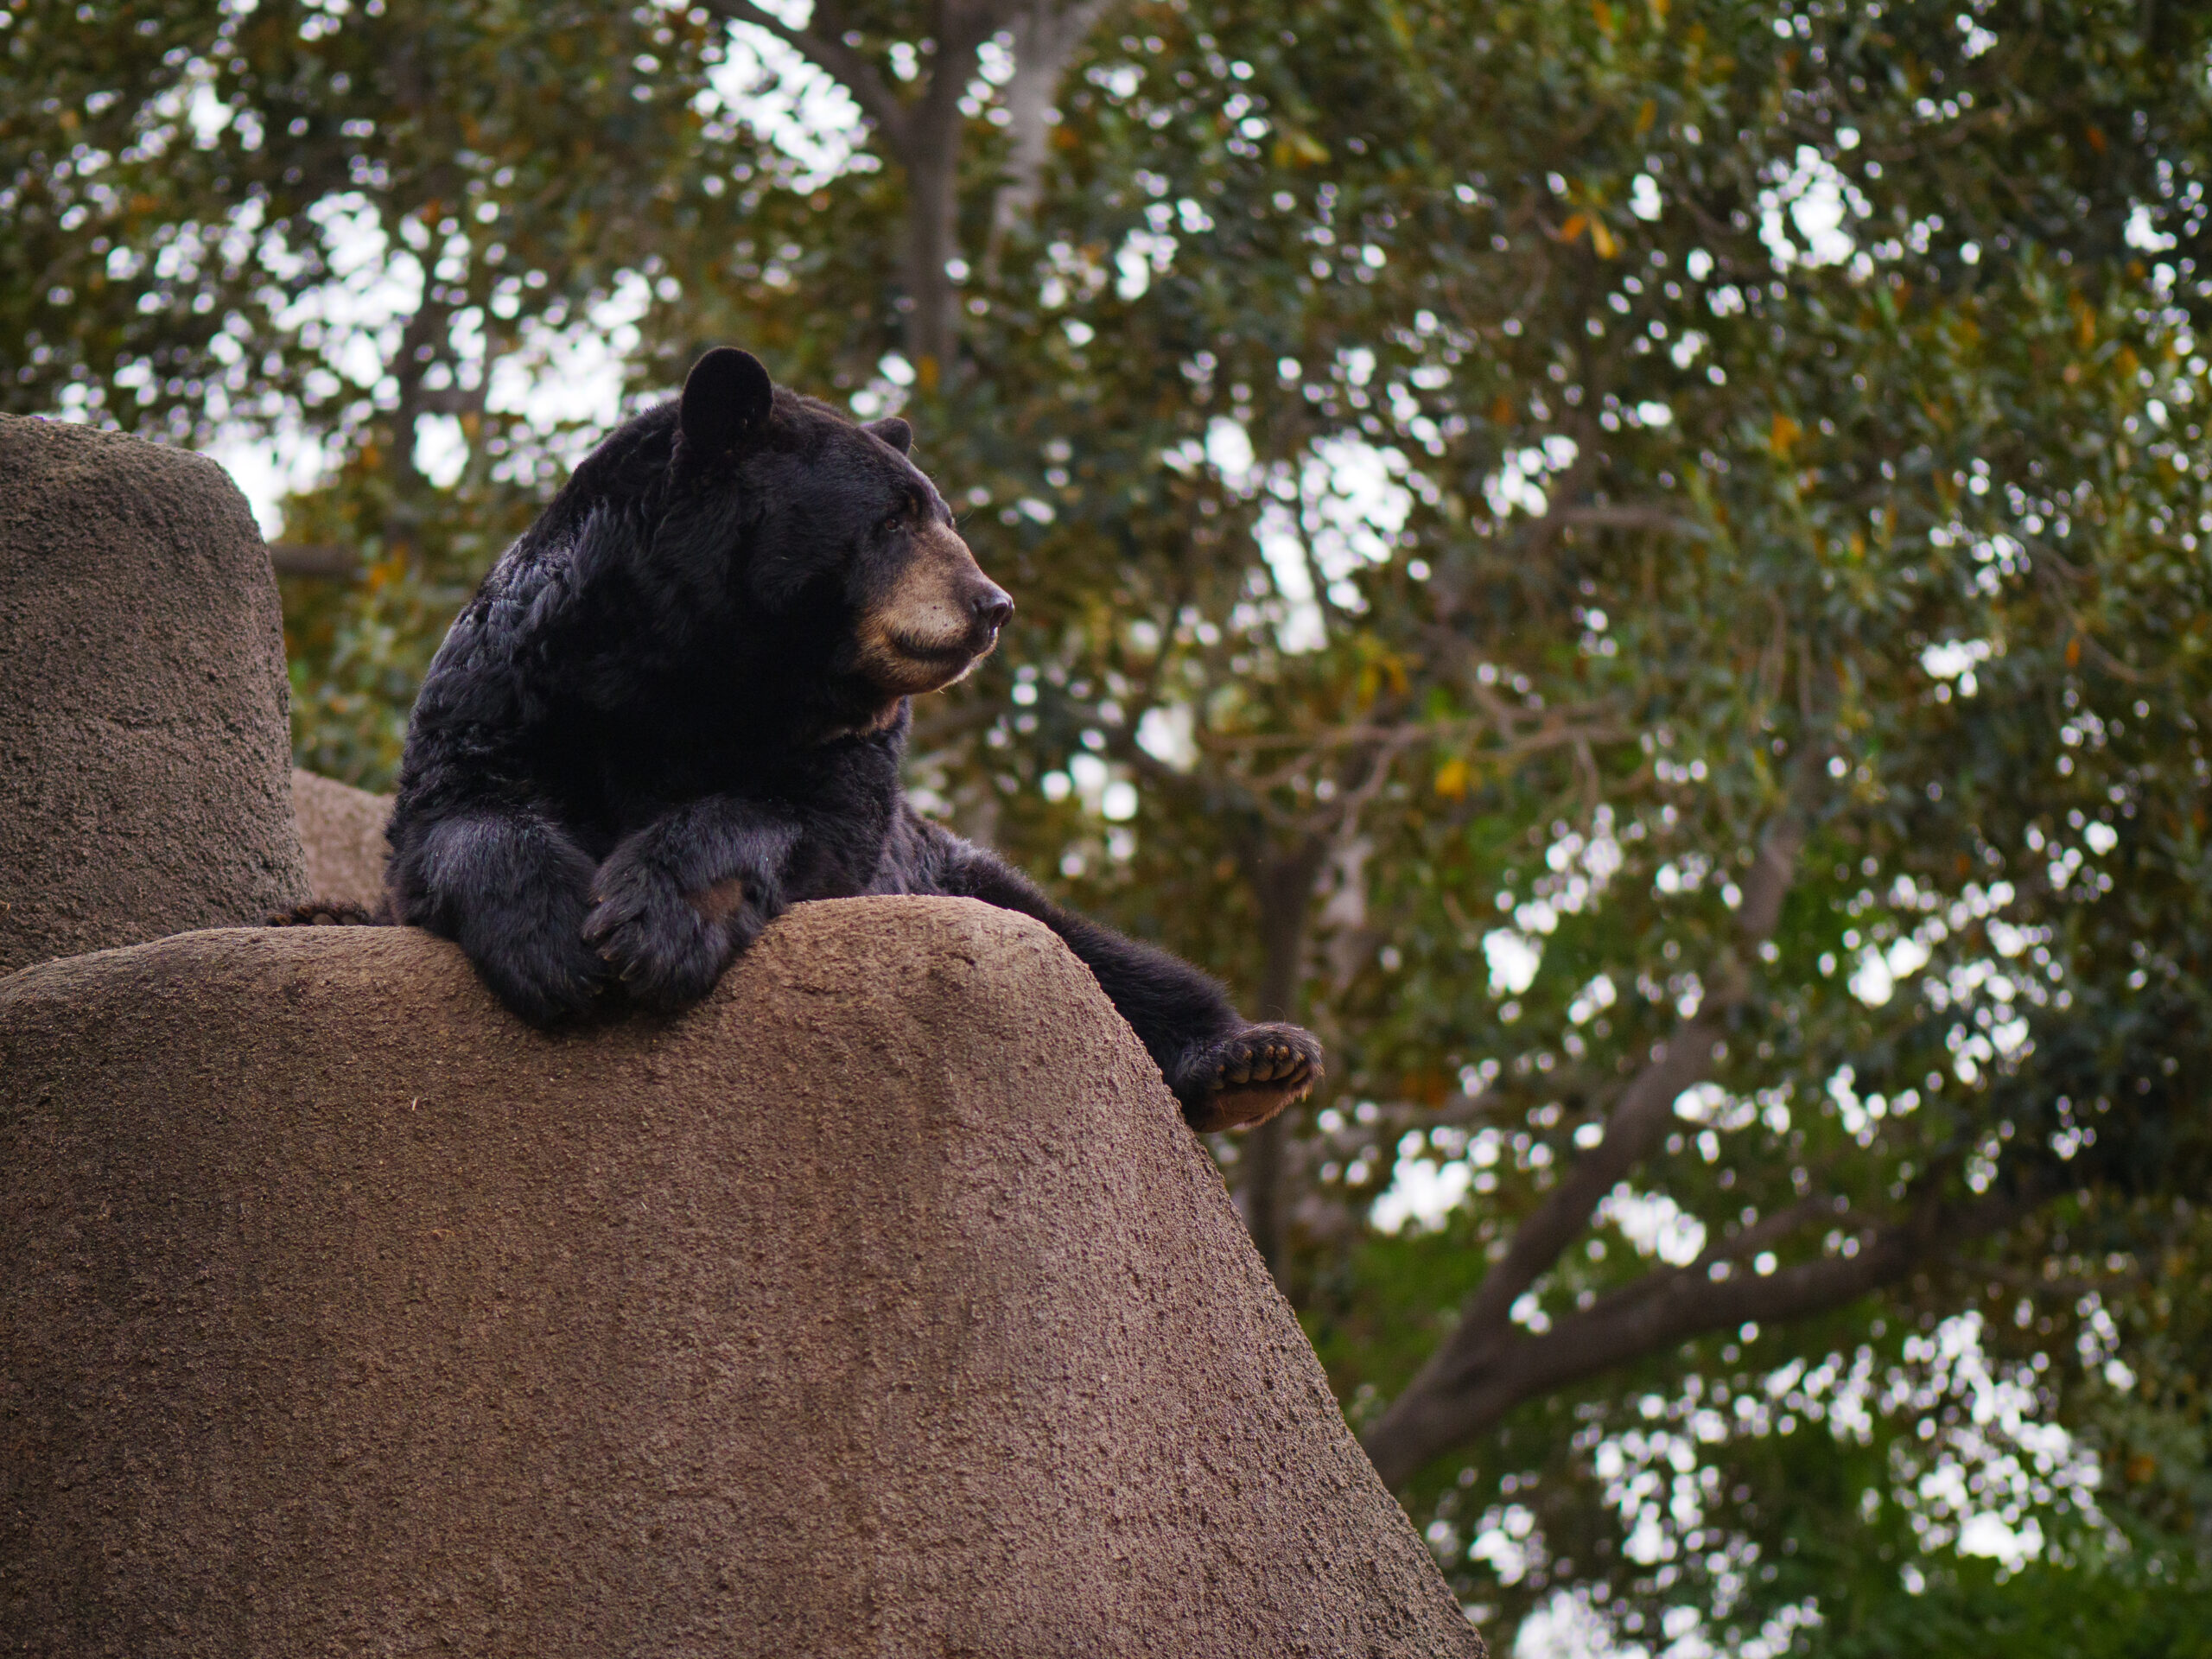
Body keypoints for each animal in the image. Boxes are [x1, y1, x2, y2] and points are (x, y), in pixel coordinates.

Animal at [382, 345, 1318, 1141]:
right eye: (895, 518)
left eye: (942, 514)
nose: (993, 605)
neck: (691, 664)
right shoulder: (514, 681)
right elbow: (460, 808)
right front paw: (551, 943)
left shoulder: (846, 751)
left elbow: (792, 818)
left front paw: (652, 924)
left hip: (966, 879)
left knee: (1098, 955)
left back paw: (1253, 1058)